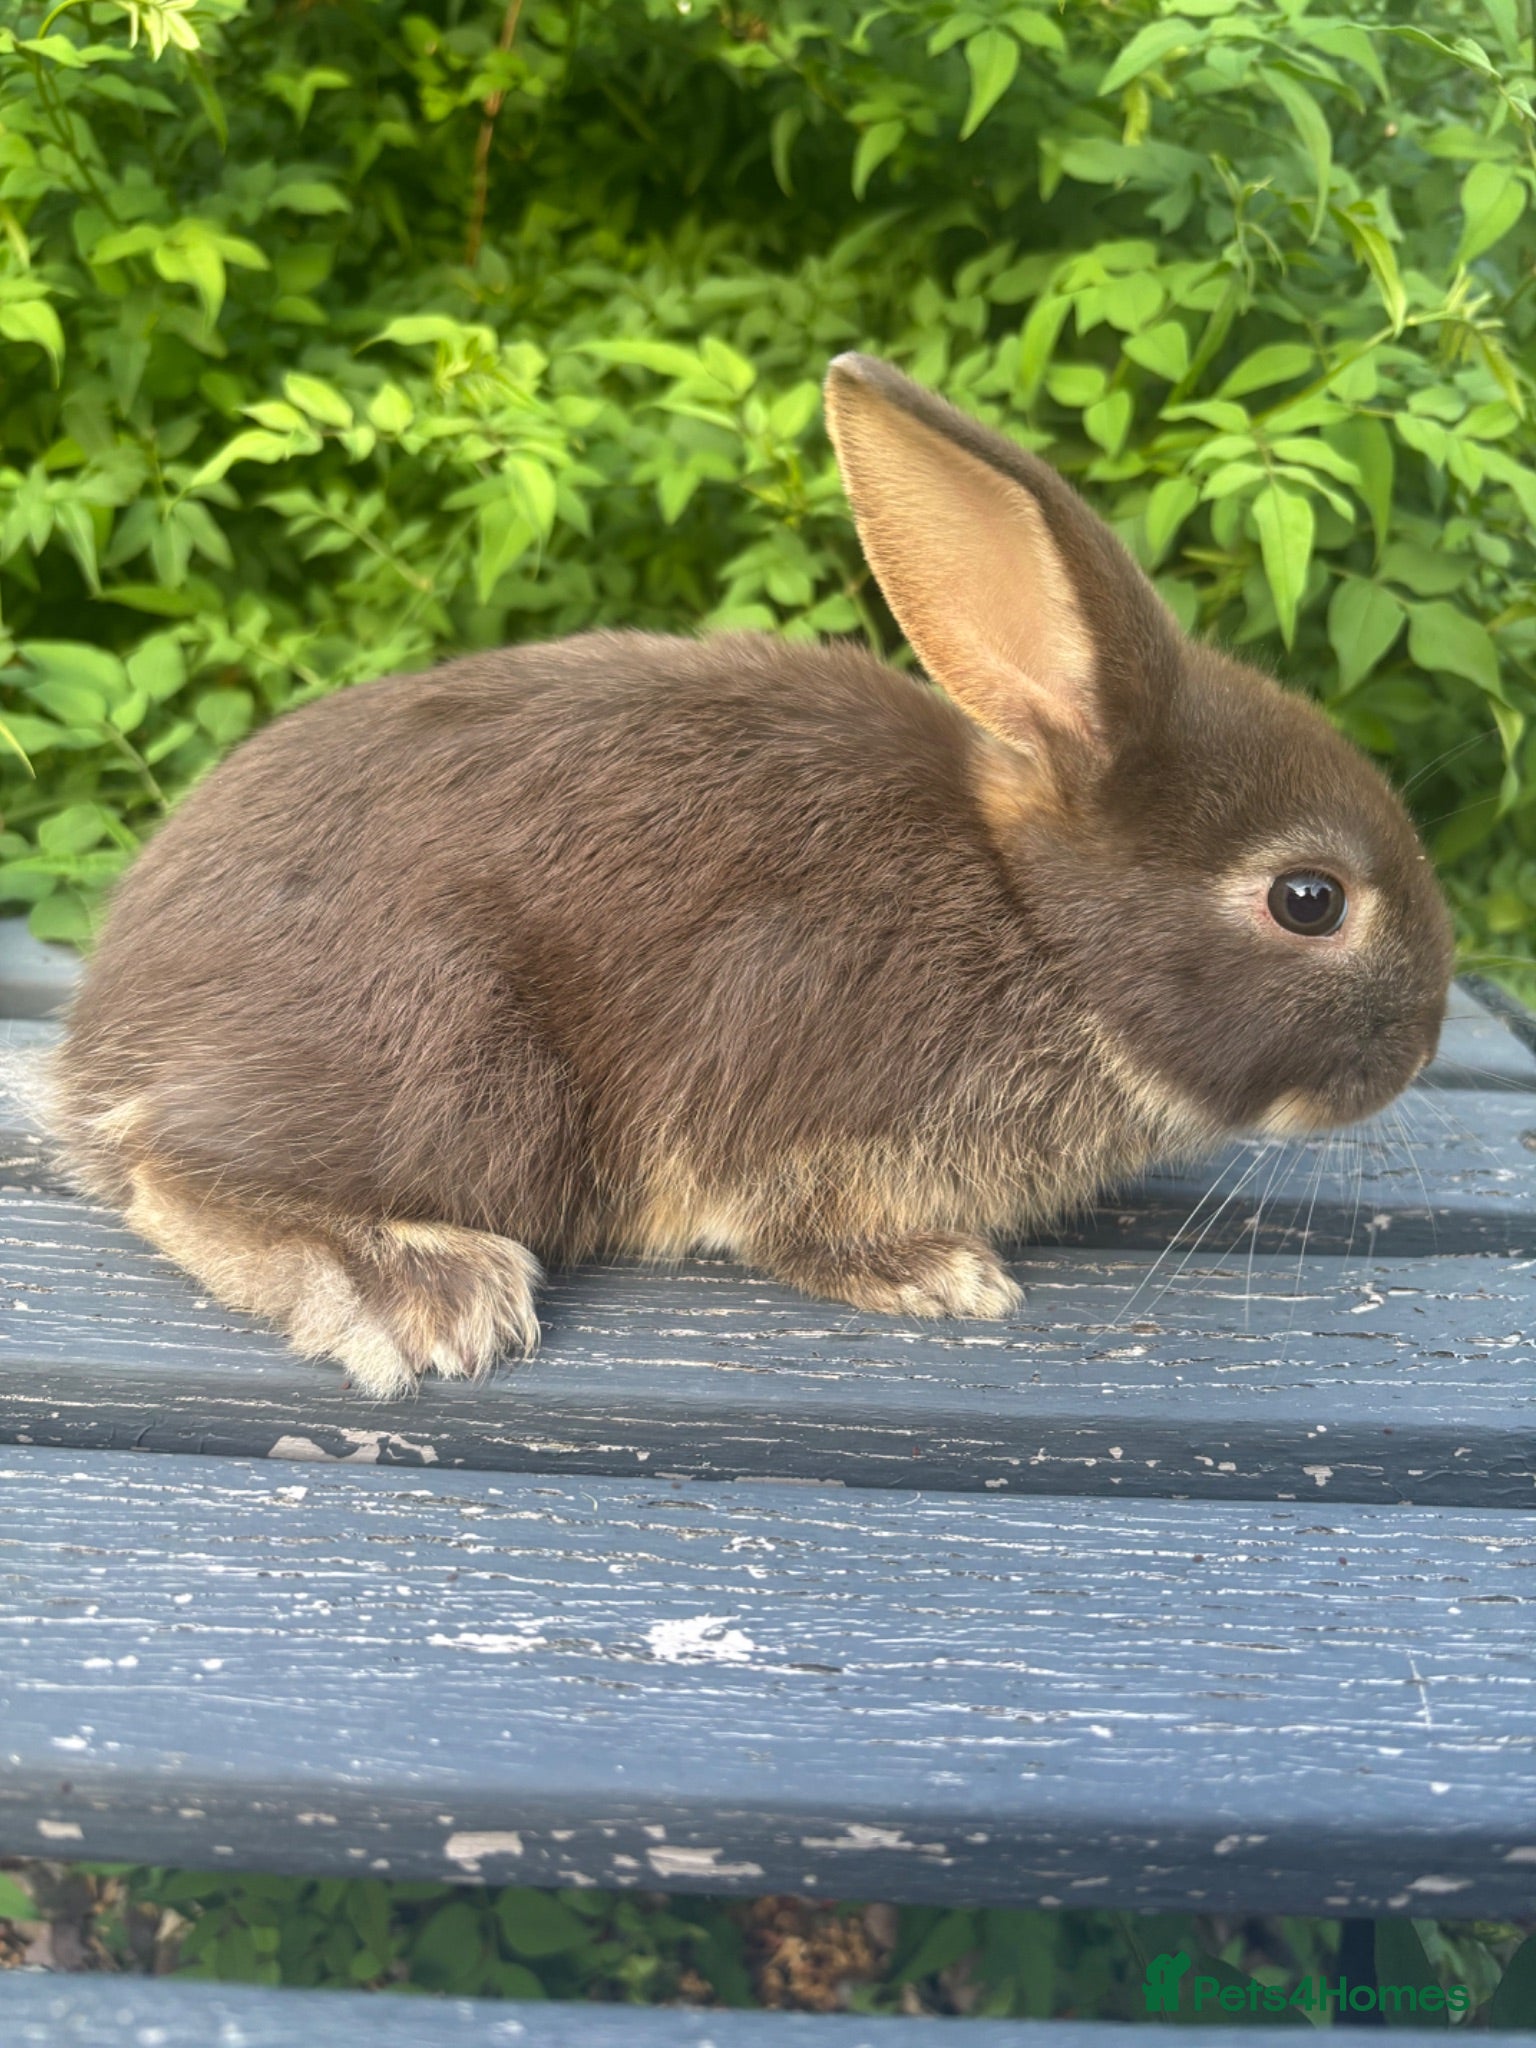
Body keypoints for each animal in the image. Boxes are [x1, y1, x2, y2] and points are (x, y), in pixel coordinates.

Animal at [45, 353, 1454, 1396]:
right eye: (1310, 900)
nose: (1421, 1049)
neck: (1036, 922)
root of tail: (99, 1047)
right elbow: (800, 1225)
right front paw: (943, 1278)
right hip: (465, 1072)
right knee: (179, 1169)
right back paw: (424, 1290)